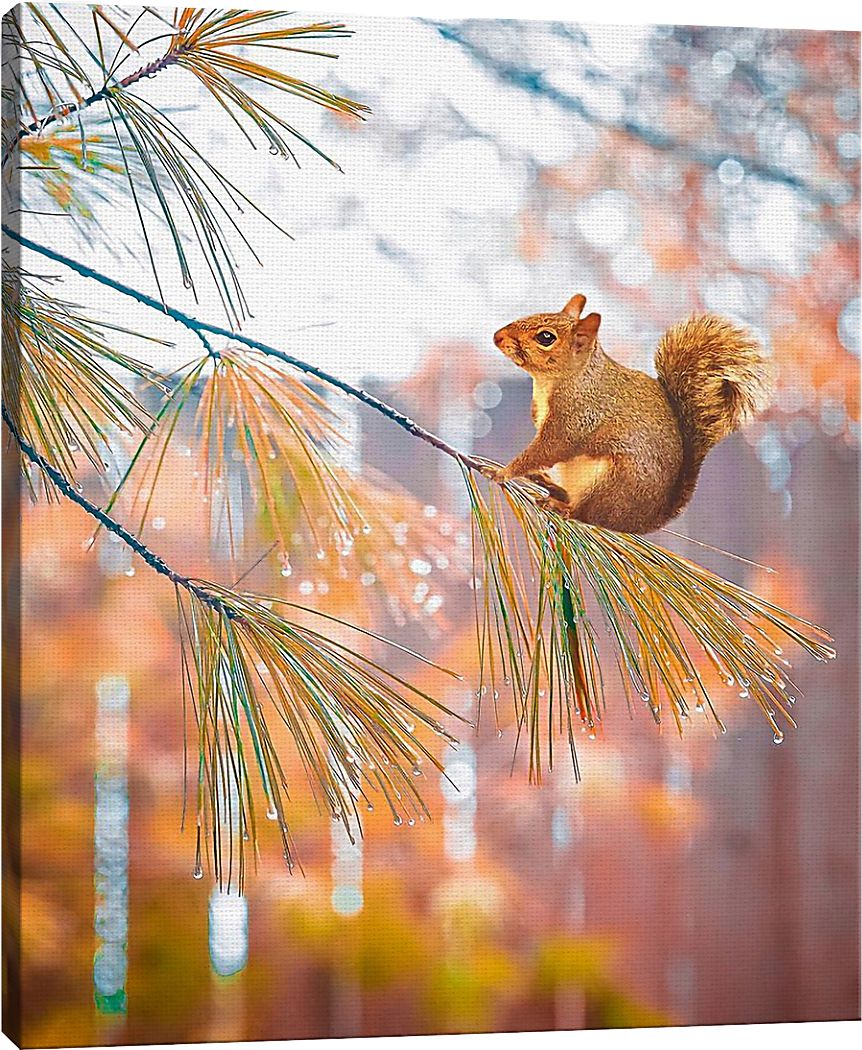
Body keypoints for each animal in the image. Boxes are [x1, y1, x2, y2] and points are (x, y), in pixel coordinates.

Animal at [492, 293, 770, 534]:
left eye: (546, 337)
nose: (497, 336)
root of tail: (644, 521)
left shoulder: (577, 417)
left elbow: (548, 449)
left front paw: (503, 472)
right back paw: (550, 486)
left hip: (615, 483)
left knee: (589, 514)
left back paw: (562, 506)